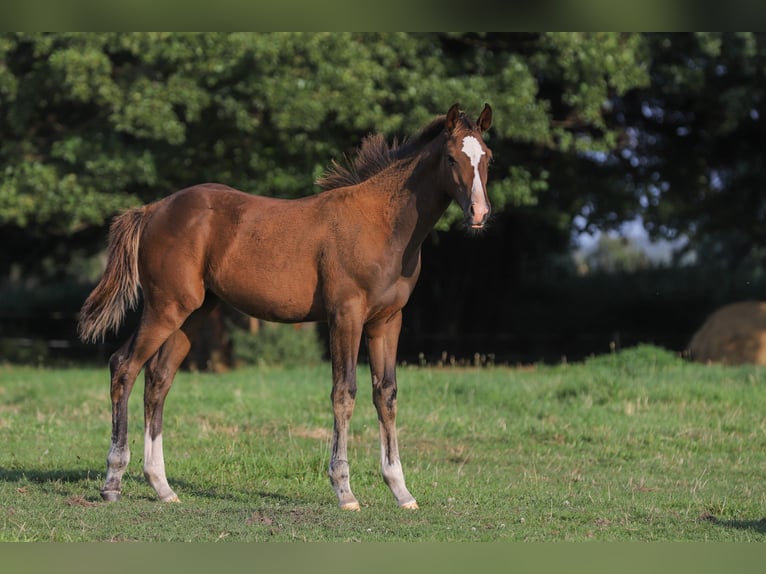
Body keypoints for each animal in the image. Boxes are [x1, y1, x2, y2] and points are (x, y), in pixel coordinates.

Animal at [78, 103, 496, 512]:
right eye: (451, 157)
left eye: (487, 157)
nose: (479, 213)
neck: (381, 222)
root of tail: (153, 210)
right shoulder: (345, 315)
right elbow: (344, 392)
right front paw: (344, 490)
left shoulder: (387, 321)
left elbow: (386, 394)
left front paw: (401, 490)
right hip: (165, 307)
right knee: (124, 366)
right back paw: (113, 482)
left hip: (191, 314)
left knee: (158, 380)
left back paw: (161, 486)